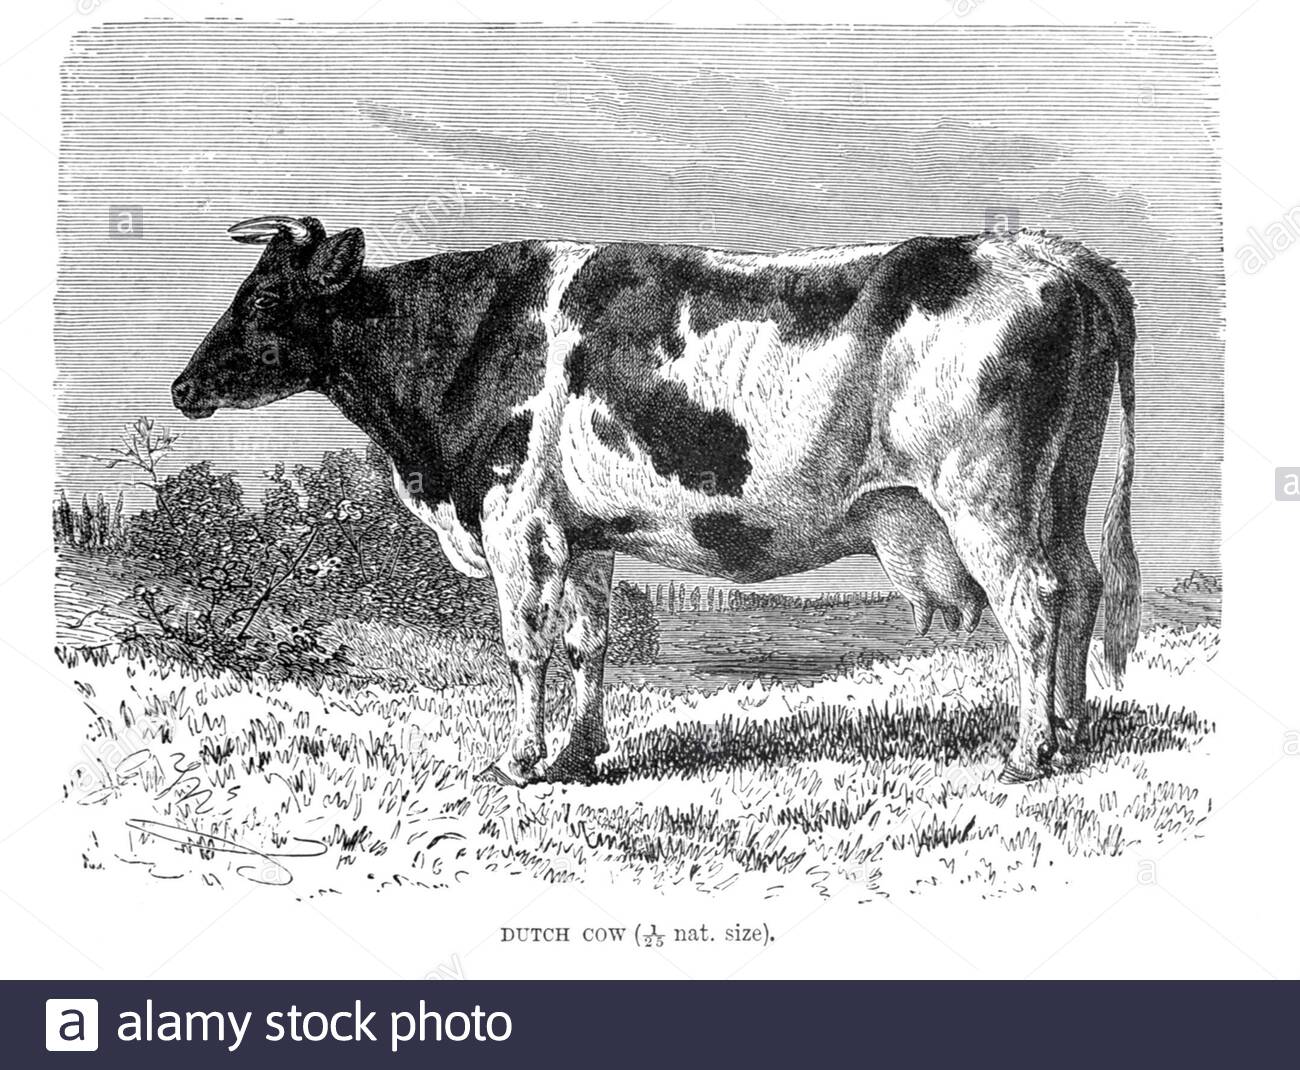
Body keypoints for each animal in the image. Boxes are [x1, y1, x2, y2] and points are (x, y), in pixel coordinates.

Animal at [172, 215, 1140, 786]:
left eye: (265, 296)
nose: (182, 388)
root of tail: (1043, 250)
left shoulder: (517, 522)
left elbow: (524, 650)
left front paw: (521, 762)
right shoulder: (585, 533)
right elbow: (587, 643)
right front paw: (580, 753)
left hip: (986, 500)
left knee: (1033, 606)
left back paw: (1027, 755)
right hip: (1061, 486)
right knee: (1083, 585)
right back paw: (1072, 733)